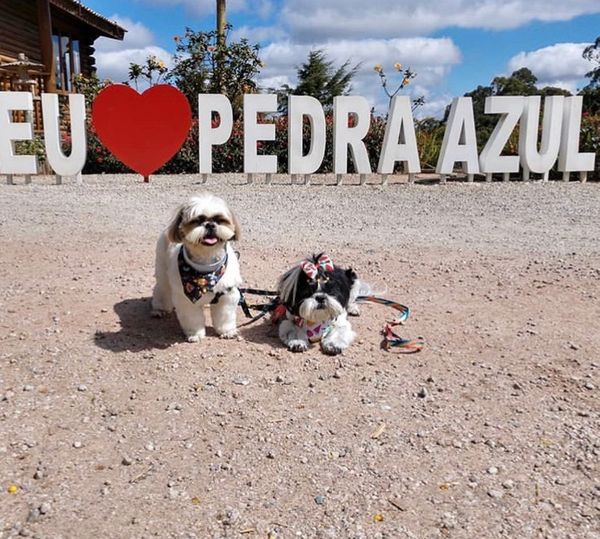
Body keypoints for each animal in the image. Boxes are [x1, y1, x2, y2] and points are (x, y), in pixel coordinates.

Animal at [151, 195, 243, 342]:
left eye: (219, 220)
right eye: (197, 221)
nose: (210, 224)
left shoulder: (227, 295)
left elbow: (225, 317)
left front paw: (227, 331)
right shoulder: (186, 299)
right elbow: (192, 318)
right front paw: (195, 334)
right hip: (162, 270)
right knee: (162, 289)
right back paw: (159, 309)